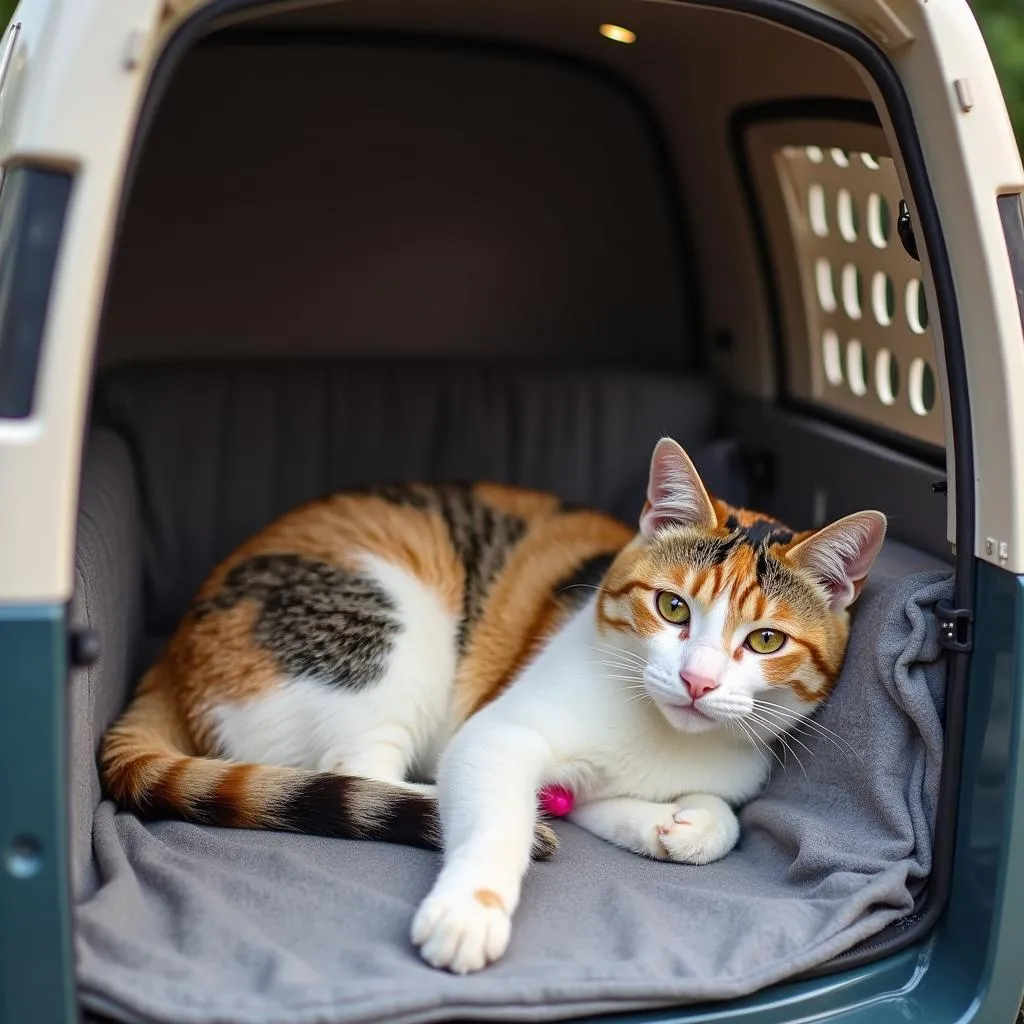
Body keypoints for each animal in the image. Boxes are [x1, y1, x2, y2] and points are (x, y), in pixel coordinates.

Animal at [99, 434, 884, 974]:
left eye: (764, 639)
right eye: (671, 607)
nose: (696, 681)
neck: (661, 736)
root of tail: (172, 652)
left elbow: (710, 817)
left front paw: (678, 825)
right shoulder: (493, 734)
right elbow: (498, 811)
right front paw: (469, 911)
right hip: (390, 626)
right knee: (357, 770)